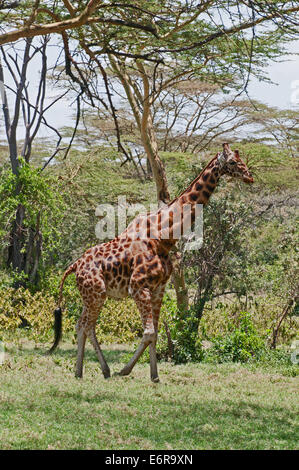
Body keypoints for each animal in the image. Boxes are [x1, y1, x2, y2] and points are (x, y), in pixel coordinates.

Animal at [48, 142, 254, 382]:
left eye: (242, 159)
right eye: (232, 161)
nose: (249, 177)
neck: (164, 236)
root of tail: (74, 266)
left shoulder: (158, 289)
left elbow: (155, 333)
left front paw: (154, 376)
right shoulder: (139, 287)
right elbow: (148, 333)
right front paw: (125, 370)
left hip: (90, 296)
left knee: (82, 325)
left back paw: (85, 370)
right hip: (96, 294)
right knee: (87, 326)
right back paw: (97, 370)